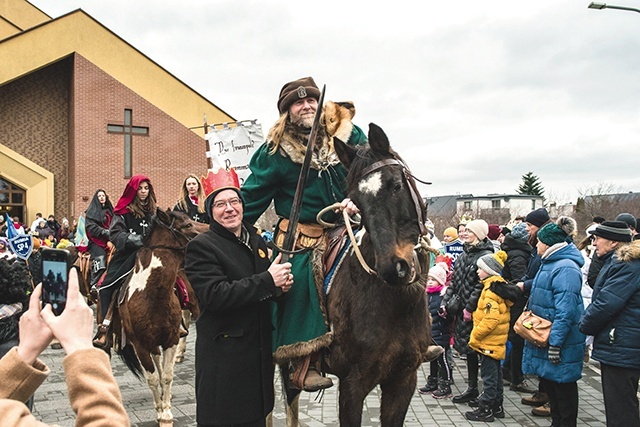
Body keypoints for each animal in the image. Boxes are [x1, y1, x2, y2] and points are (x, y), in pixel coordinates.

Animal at [114, 209, 206, 426]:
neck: (150, 294)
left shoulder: (171, 339)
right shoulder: (140, 345)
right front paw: (159, 410)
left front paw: (166, 413)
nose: (210, 229)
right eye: (187, 225)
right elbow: (153, 378)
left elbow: (167, 376)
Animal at [282, 122, 436, 426]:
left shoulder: (404, 380)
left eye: (396, 185)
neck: (396, 303)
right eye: (356, 202)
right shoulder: (353, 383)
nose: (393, 267)